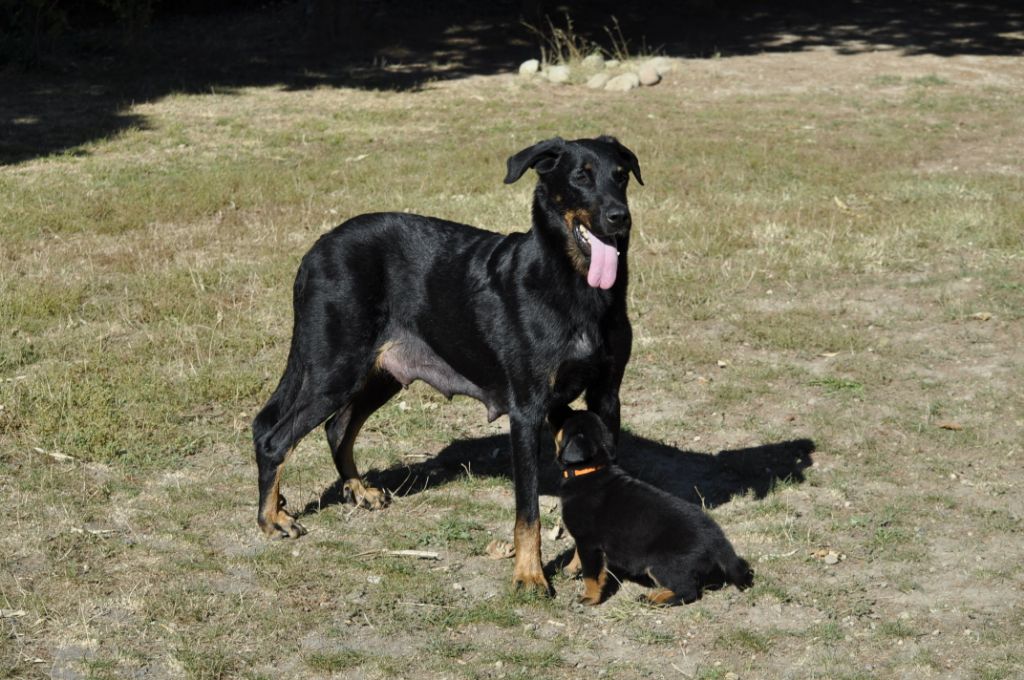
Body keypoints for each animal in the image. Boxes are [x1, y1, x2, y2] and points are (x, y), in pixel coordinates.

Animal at [250, 135, 638, 593]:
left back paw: (359, 491)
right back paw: (272, 519)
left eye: (621, 176)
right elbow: (528, 510)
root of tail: (315, 250)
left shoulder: (605, 397)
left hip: (380, 372)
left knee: (336, 427)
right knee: (274, 436)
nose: (620, 217)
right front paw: (529, 575)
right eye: (581, 176)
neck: (574, 284)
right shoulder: (528, 409)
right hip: (334, 366)